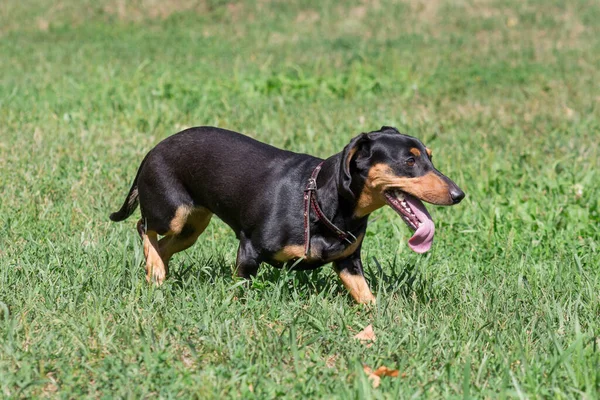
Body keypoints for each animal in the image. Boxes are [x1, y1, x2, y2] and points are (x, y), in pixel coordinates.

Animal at [111, 125, 464, 304]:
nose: (459, 194)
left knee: (163, 246)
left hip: (192, 226)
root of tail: (152, 150)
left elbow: (367, 298)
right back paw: (156, 268)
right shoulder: (249, 251)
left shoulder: (349, 263)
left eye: (430, 158)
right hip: (172, 212)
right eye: (410, 161)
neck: (320, 201)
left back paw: (157, 272)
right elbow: (240, 294)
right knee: (143, 226)